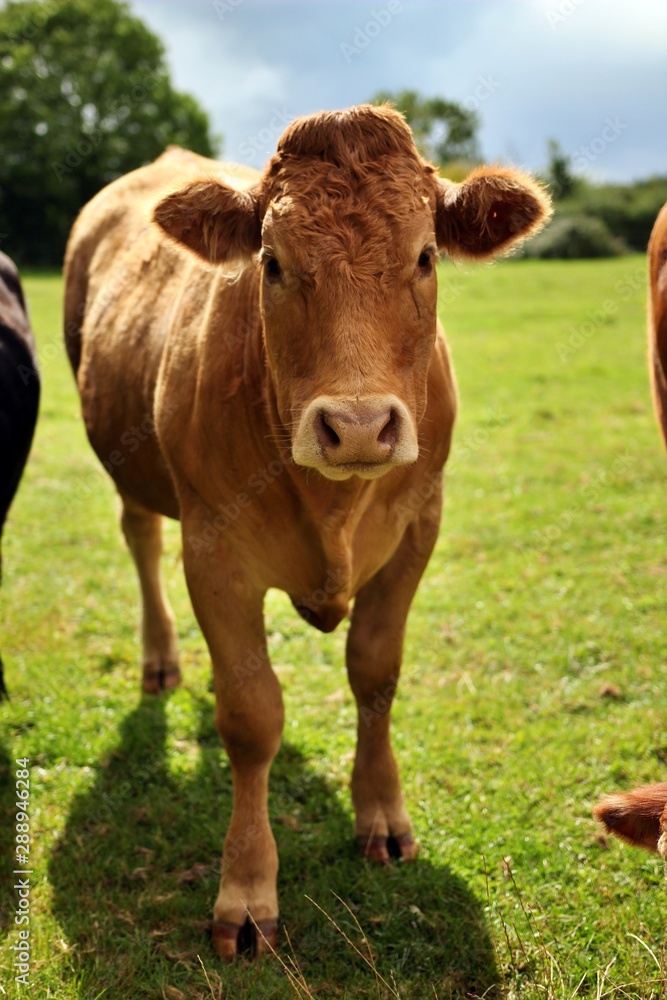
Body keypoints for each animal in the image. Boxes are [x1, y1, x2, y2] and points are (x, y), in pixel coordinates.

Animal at [64, 105, 552, 956]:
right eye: (272, 262)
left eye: (424, 256)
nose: (356, 426)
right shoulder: (214, 551)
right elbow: (250, 715)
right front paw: (245, 889)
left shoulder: (418, 528)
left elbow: (375, 671)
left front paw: (382, 817)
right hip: (132, 470)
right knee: (139, 537)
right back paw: (159, 659)